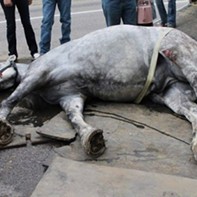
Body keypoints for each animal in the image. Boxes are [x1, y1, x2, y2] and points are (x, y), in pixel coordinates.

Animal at [0, 25, 197, 160]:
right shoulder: (70, 96)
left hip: (181, 54)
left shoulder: (40, 74)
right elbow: (74, 118)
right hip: (172, 92)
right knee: (192, 111)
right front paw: (90, 137)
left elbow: (10, 100)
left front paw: (3, 126)